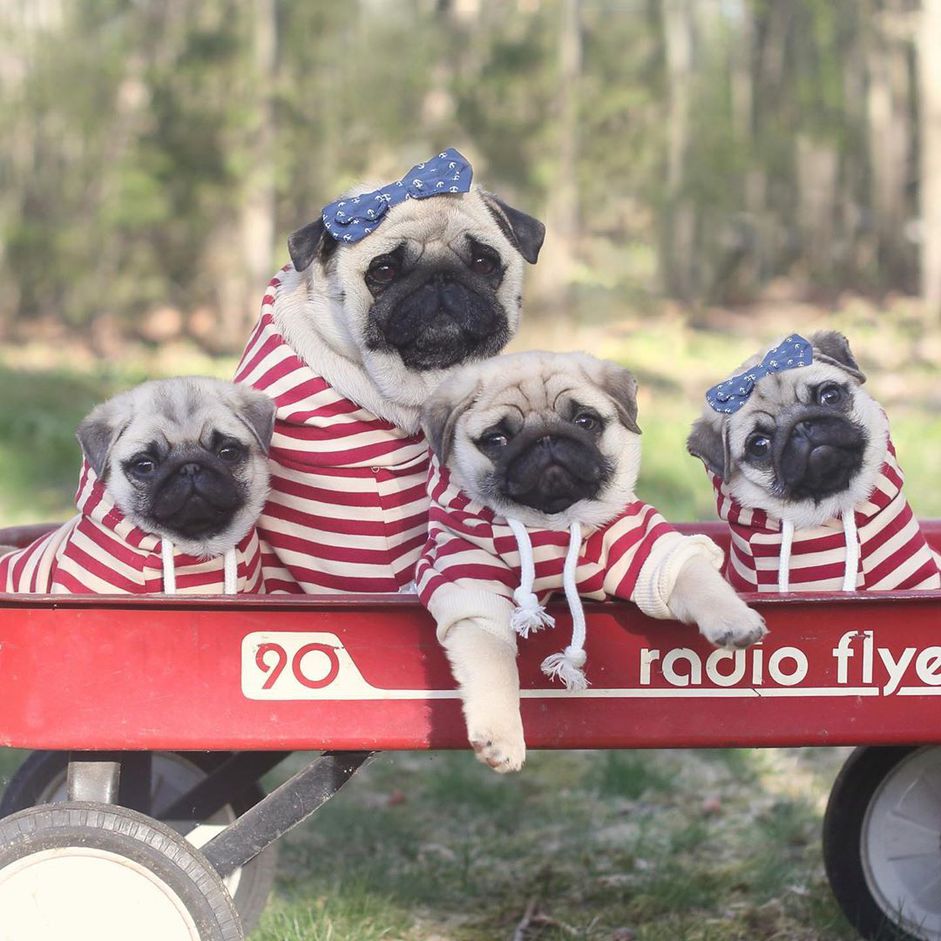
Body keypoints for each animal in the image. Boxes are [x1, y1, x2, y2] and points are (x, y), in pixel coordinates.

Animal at [416, 352, 764, 772]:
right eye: (497, 440)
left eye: (585, 422)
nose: (546, 438)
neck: (553, 522)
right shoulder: (473, 587)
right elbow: (494, 663)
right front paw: (502, 736)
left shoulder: (645, 550)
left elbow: (696, 578)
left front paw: (734, 619)